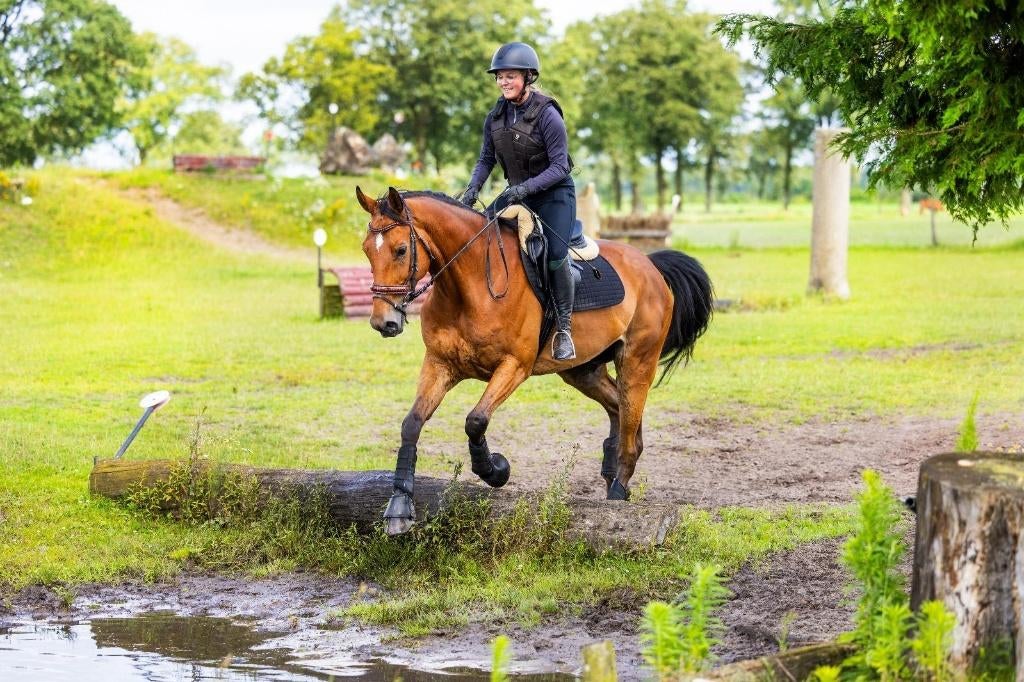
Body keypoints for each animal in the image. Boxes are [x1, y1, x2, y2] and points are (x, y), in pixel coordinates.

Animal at [355, 186, 714, 535]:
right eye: (366, 250)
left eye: (401, 250)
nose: (383, 323)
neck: (469, 285)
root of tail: (650, 265)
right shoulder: (440, 364)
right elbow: (411, 424)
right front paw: (399, 507)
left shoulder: (514, 366)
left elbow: (476, 420)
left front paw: (495, 470)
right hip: (584, 371)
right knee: (620, 410)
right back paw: (611, 472)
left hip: (637, 362)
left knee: (629, 417)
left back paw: (617, 490)